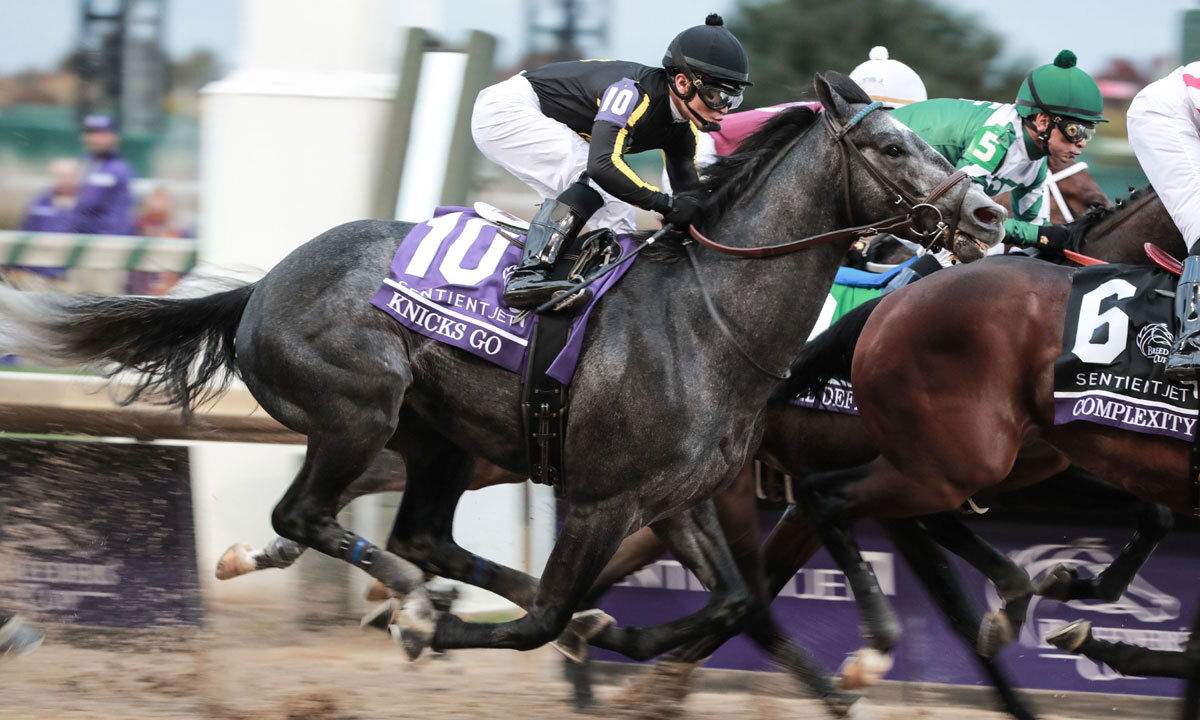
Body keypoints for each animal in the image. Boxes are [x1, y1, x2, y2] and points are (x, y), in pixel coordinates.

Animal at [0, 73, 1004, 720]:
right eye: (889, 143)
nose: (988, 213)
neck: (708, 318)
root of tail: (259, 287)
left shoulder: (677, 497)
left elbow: (727, 603)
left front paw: (624, 641)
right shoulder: (601, 497)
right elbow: (550, 620)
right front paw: (444, 633)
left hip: (438, 440)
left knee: (424, 535)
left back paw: (443, 597)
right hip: (357, 415)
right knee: (310, 517)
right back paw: (408, 602)